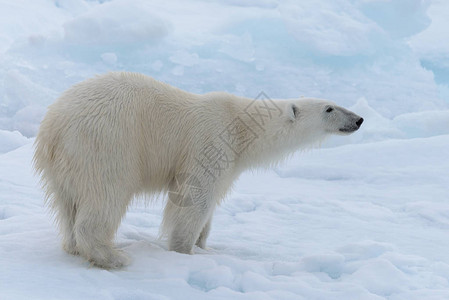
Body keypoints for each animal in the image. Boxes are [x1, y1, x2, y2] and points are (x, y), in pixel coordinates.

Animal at [33, 71, 362, 268]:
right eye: (329, 108)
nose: (358, 119)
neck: (243, 127)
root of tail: (53, 126)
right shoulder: (211, 142)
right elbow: (196, 198)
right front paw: (185, 250)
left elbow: (212, 202)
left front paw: (204, 245)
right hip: (107, 143)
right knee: (105, 195)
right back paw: (112, 256)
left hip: (63, 166)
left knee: (67, 203)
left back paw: (75, 247)